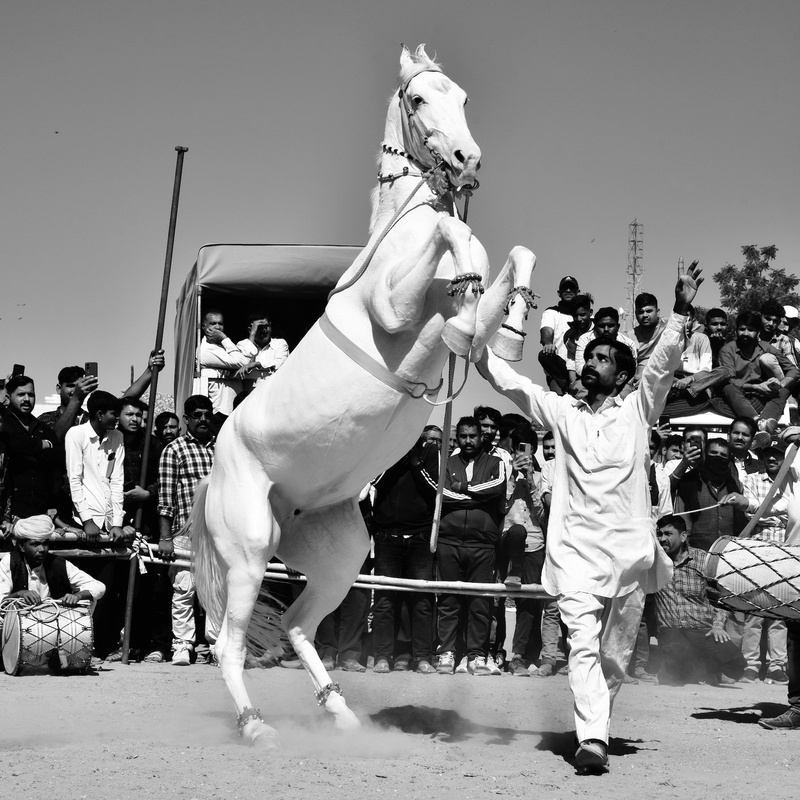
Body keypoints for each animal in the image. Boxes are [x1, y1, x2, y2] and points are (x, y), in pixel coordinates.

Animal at [191, 44, 537, 747]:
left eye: (463, 97)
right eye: (418, 98)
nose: (468, 161)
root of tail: (217, 471)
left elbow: (509, 261)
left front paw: (506, 335)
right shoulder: (393, 308)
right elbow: (453, 245)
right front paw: (464, 304)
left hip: (339, 556)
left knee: (296, 623)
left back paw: (342, 715)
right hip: (248, 551)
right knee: (227, 643)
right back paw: (256, 727)